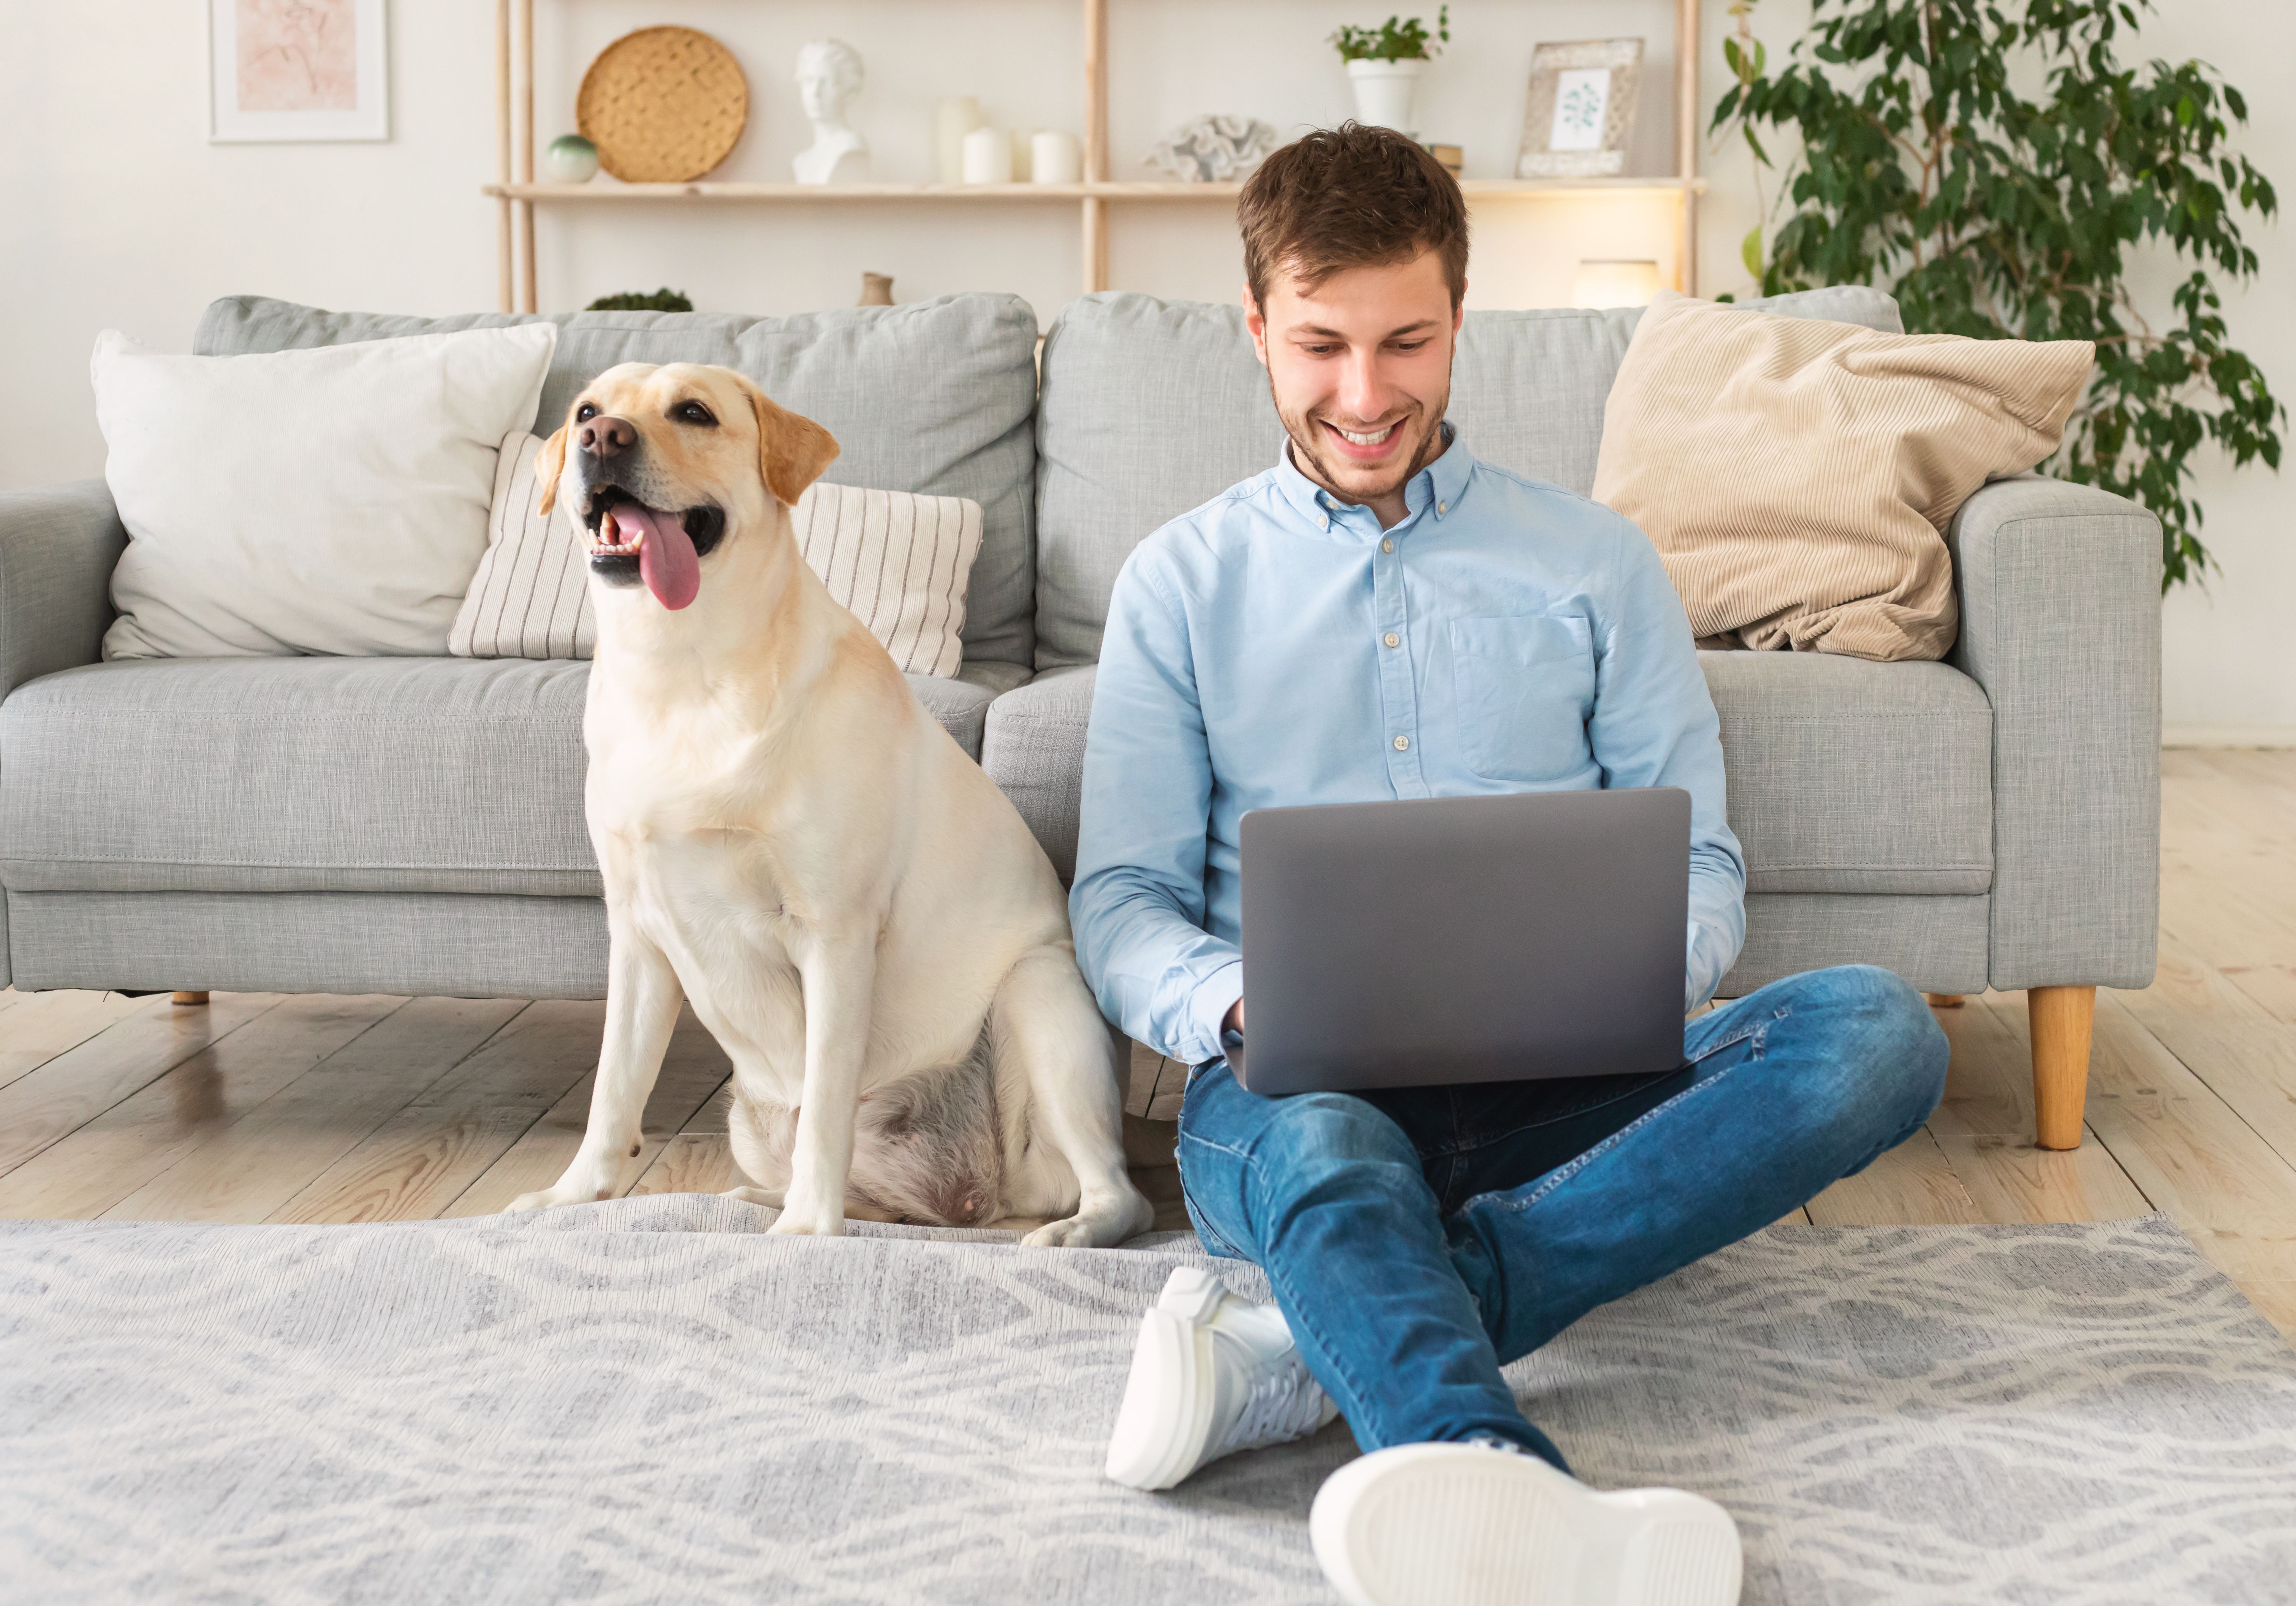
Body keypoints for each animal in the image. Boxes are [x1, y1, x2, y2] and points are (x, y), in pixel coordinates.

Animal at [503, 365, 1148, 1240]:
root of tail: (974, 1198)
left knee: (1114, 1191)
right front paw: (571, 1197)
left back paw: (1066, 1229)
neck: (682, 669)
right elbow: (613, 1091)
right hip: (749, 1118)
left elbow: (827, 1100)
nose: (603, 439)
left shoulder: (834, 933)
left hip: (1040, 994)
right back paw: (756, 1199)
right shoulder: (636, 935)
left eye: (693, 412)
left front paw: (807, 1234)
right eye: (587, 412)